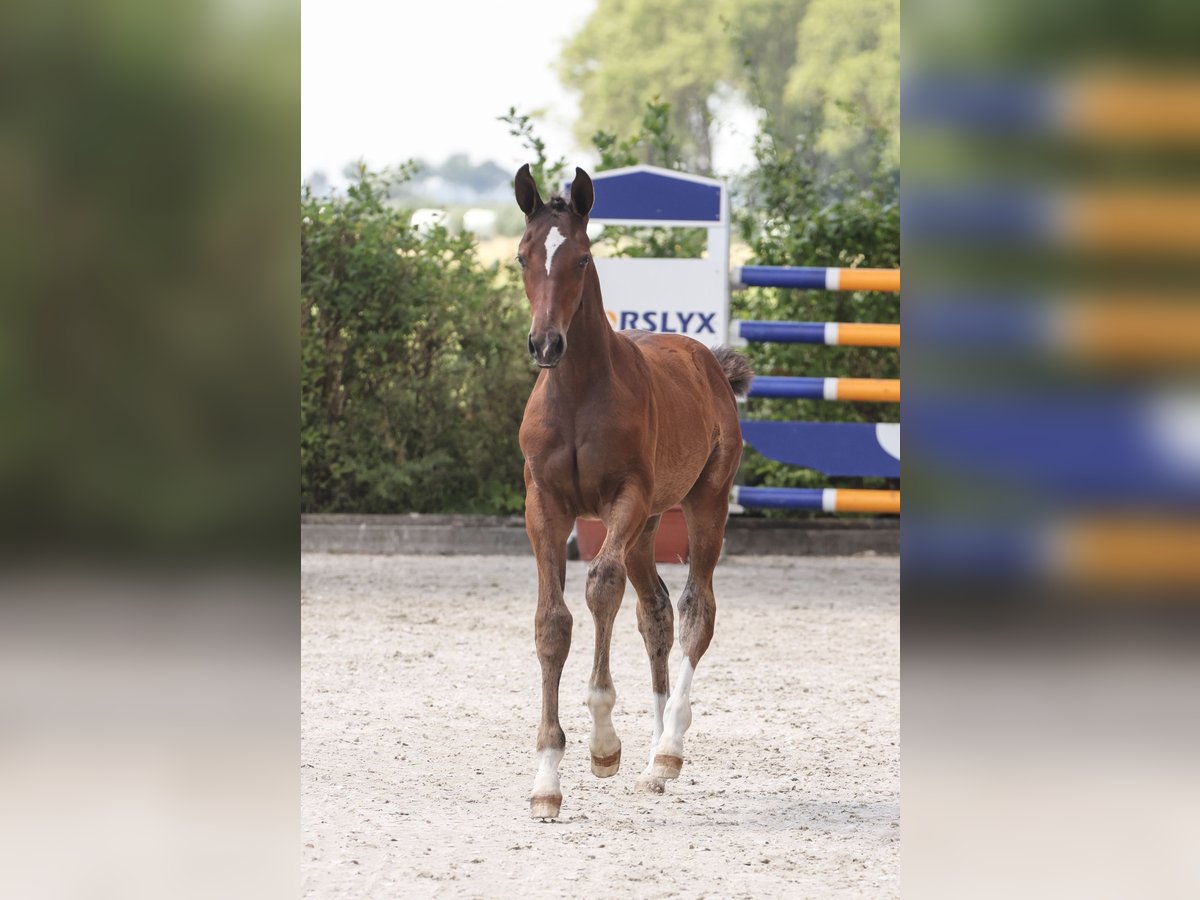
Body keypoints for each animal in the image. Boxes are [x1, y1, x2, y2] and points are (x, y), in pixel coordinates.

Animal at [513, 165, 748, 820]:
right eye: (522, 257)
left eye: (582, 258)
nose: (546, 345)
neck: (576, 392)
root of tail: (708, 360)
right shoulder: (543, 504)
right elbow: (552, 622)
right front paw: (547, 781)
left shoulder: (626, 497)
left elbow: (600, 589)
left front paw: (602, 744)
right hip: (648, 529)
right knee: (656, 611)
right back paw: (655, 750)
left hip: (702, 504)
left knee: (696, 609)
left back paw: (666, 751)